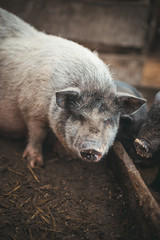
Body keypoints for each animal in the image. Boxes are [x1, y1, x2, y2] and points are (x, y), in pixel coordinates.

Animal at [0, 8, 146, 168]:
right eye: (79, 116)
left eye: (108, 120)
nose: (92, 149)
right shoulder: (31, 109)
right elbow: (38, 134)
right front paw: (35, 163)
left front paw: (66, 157)